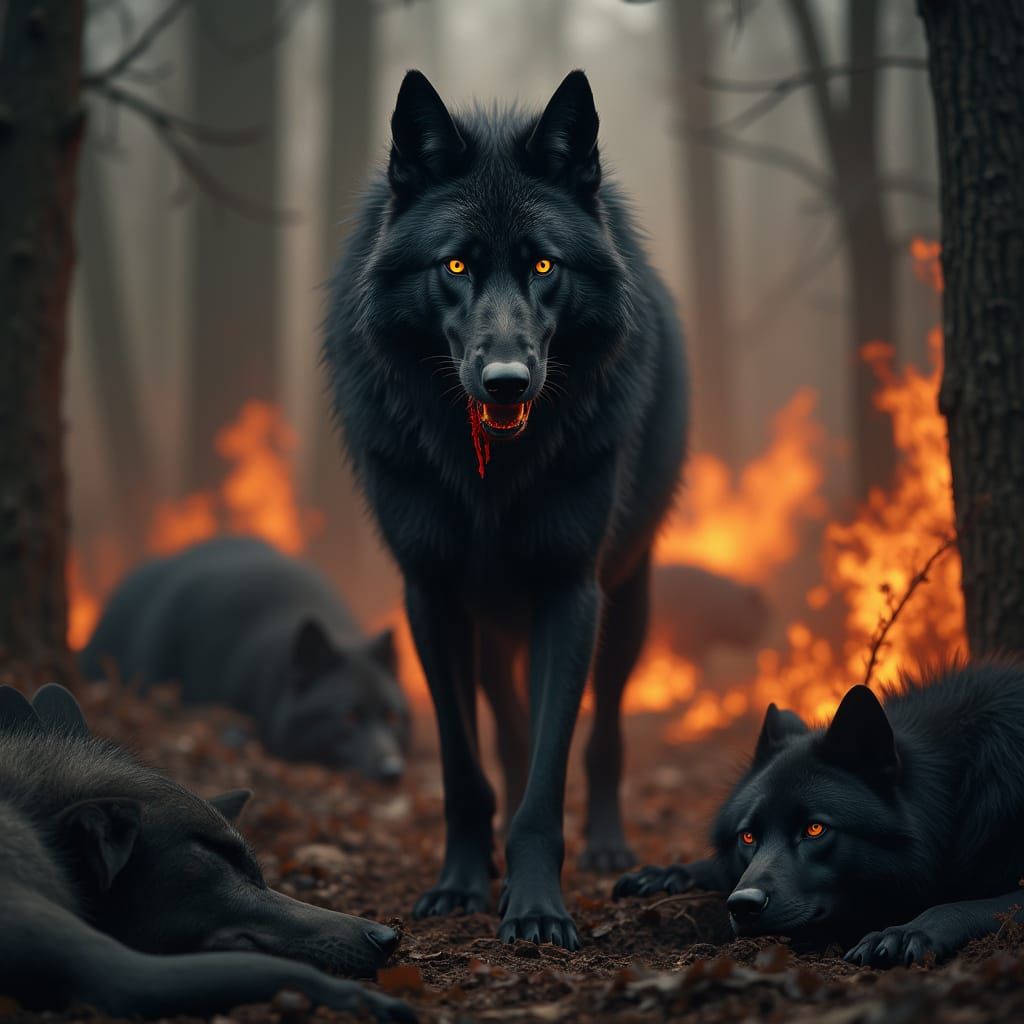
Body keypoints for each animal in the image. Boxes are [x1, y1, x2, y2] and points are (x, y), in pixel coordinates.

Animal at [324, 68, 688, 949]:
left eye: (545, 264)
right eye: (455, 263)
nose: (506, 382)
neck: (487, 474)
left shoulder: (570, 590)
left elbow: (550, 776)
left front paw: (536, 907)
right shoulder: (431, 594)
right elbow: (466, 766)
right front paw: (460, 883)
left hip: (627, 600)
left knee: (606, 733)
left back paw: (606, 846)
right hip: (491, 625)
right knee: (510, 725)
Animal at [615, 663, 1024, 966]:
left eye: (814, 829)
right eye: (748, 836)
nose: (742, 905)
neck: (957, 789)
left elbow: (961, 906)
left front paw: (904, 931)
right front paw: (667, 873)